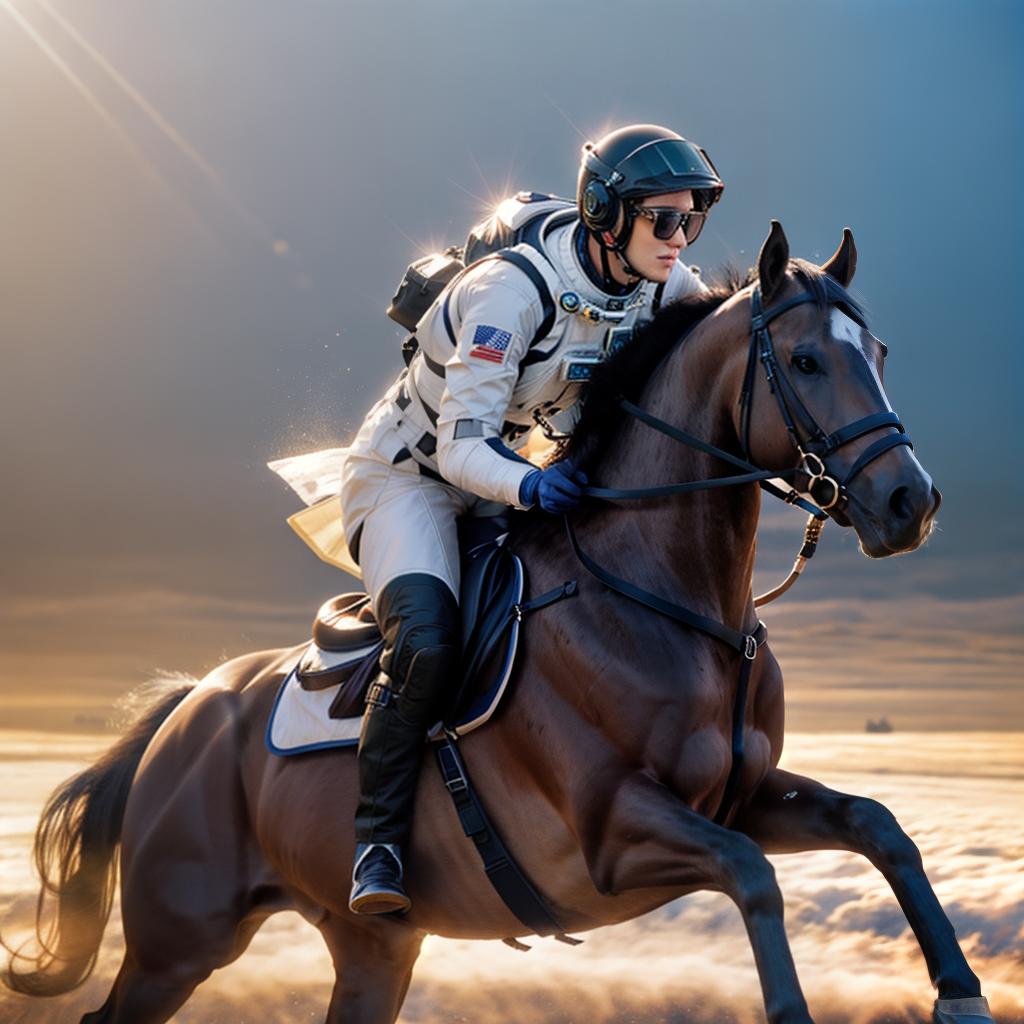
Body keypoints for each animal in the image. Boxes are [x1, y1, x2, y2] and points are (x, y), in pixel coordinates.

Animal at [2, 224, 991, 1024]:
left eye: (880, 351)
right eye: (808, 361)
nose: (911, 504)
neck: (674, 603)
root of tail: (185, 710)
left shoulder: (740, 795)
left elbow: (879, 825)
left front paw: (961, 993)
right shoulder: (614, 833)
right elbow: (755, 877)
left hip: (372, 951)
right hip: (181, 942)